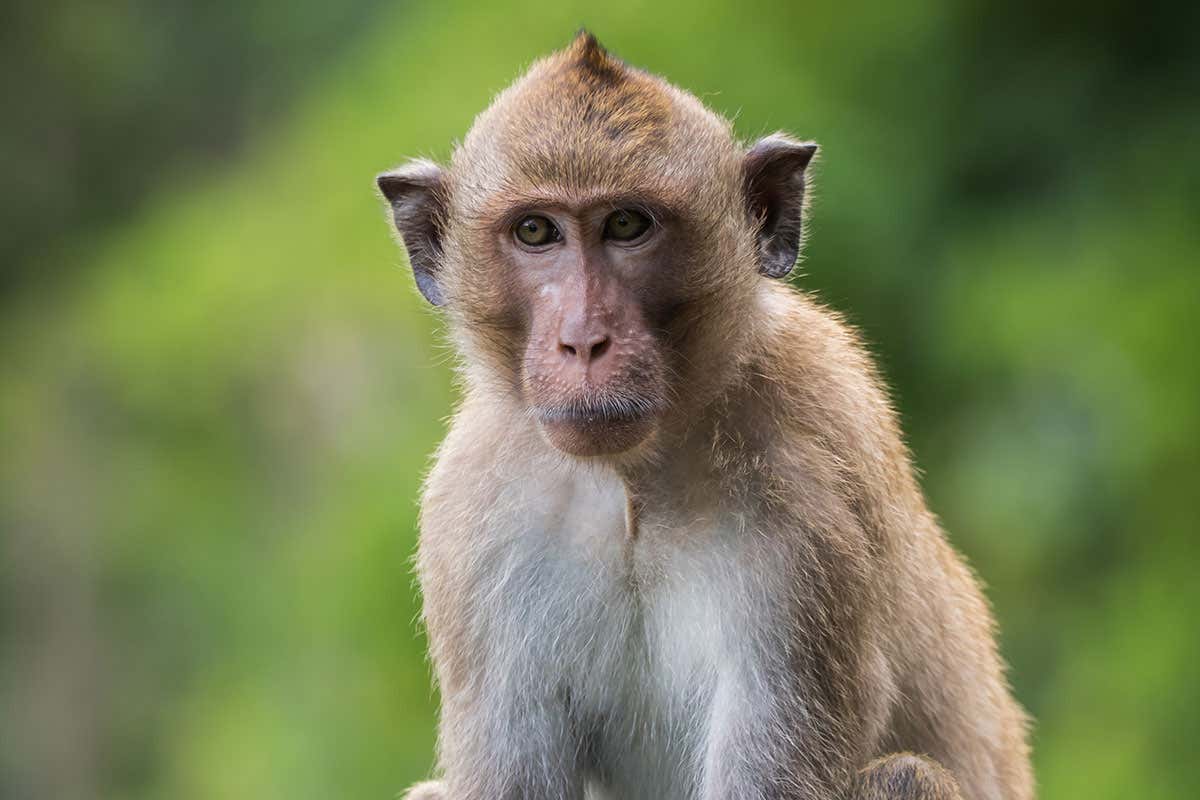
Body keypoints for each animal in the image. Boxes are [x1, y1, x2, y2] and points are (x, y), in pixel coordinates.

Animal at [376, 32, 1033, 800]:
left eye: (626, 225)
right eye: (535, 231)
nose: (583, 339)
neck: (631, 484)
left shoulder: (809, 502)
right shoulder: (474, 519)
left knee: (904, 777)